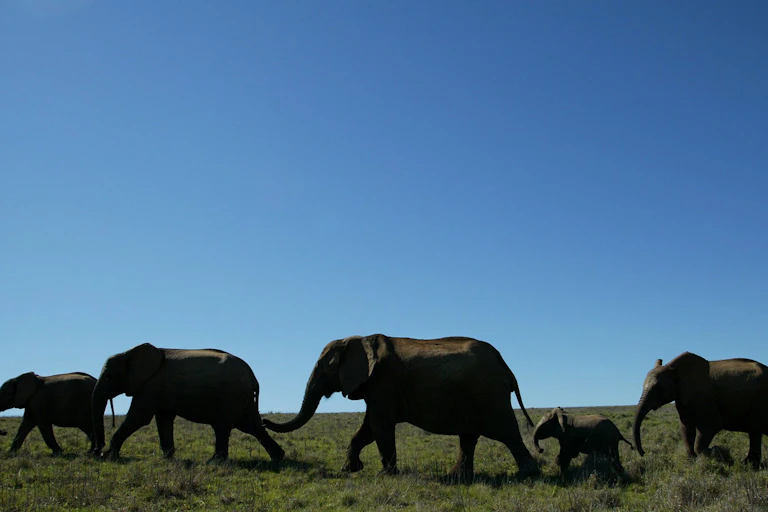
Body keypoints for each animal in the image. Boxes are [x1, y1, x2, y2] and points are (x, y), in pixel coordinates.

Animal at [92, 343, 285, 463]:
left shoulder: (150, 386)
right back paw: (278, 457)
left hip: (230, 396)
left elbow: (139, 418)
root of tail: (252, 374)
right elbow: (163, 419)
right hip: (243, 399)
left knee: (223, 427)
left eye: (109, 377)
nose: (97, 453)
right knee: (253, 426)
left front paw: (110, 457)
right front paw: (167, 459)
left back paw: (214, 462)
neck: (130, 351)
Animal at [263, 334, 540, 480]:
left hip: (489, 395)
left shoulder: (382, 382)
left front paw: (384, 476)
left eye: (322, 367)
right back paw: (456, 477)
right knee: (469, 437)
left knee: (507, 433)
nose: (264, 420)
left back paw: (528, 475)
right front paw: (350, 470)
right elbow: (366, 429)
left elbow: (379, 426)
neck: (359, 339)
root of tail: (506, 368)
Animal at [634, 352, 768, 469]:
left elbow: (711, 425)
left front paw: (713, 452)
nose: (643, 452)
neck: (677, 369)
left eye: (659, 387)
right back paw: (750, 465)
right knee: (755, 432)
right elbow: (686, 429)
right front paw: (692, 462)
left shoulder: (703, 397)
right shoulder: (684, 398)